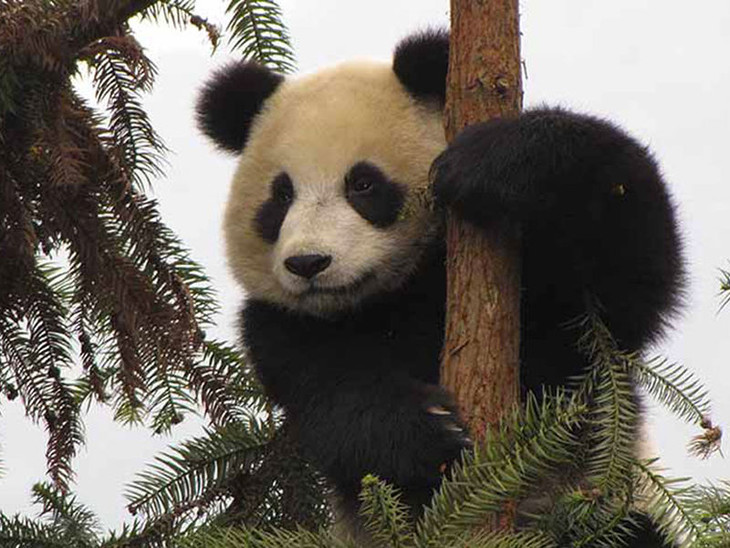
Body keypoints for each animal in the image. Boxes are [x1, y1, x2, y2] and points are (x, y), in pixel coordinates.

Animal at [196, 30, 683, 546]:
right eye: (281, 196)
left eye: (363, 184)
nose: (308, 263)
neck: (391, 294)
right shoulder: (279, 326)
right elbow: (334, 401)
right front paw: (434, 432)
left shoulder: (543, 282)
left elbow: (629, 283)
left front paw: (496, 161)